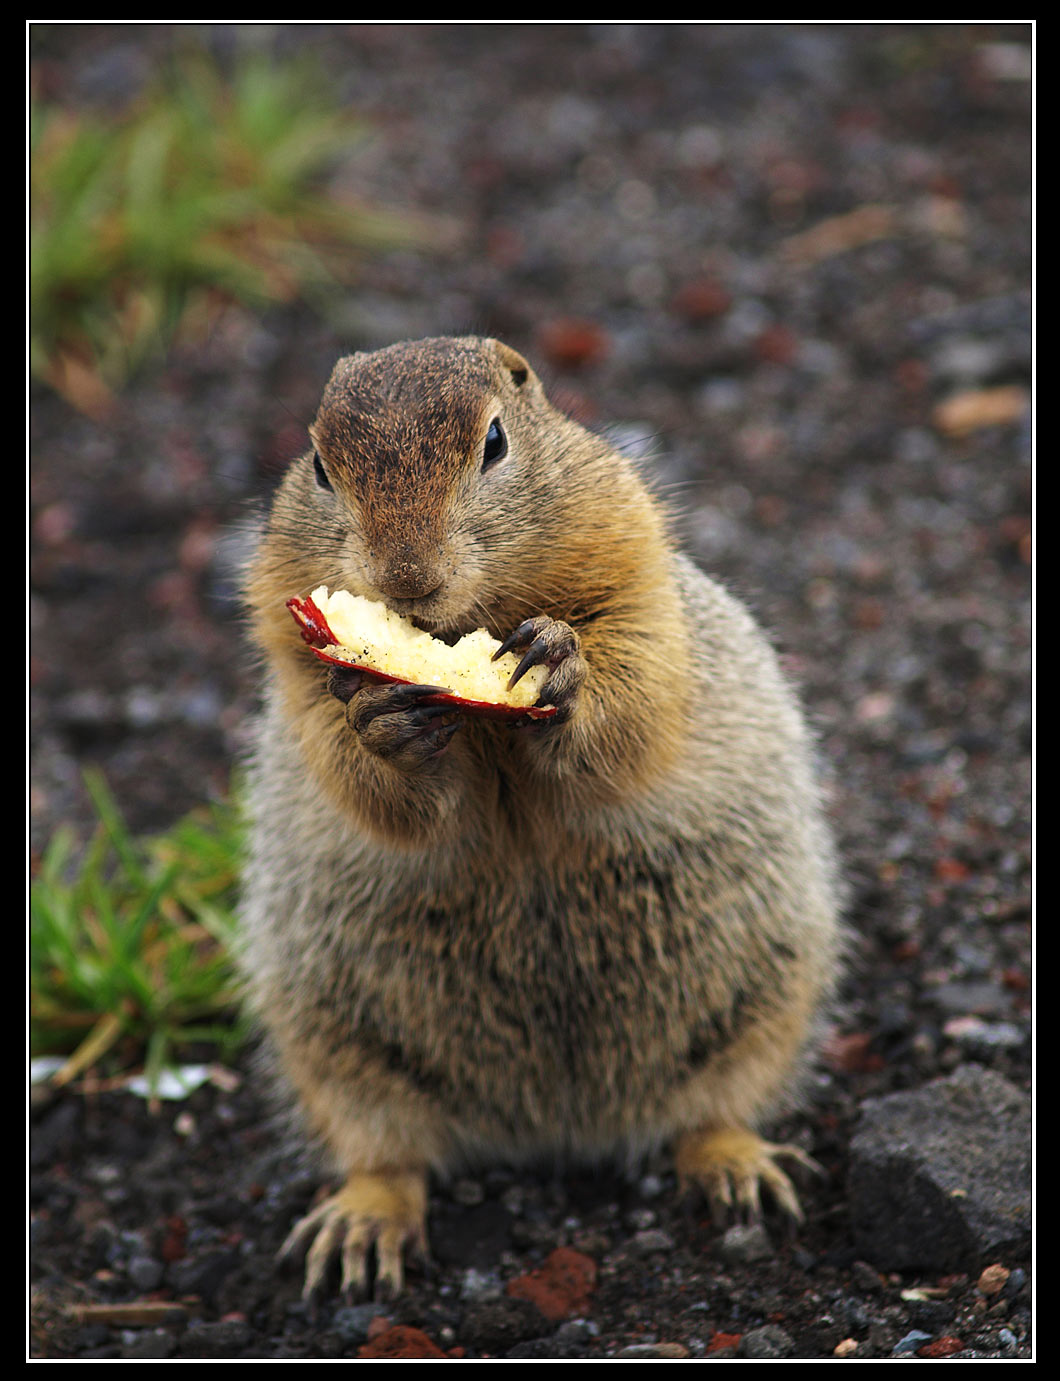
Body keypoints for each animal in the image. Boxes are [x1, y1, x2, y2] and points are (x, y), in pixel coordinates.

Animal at [237, 331, 839, 1292]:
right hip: (331, 1043)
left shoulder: (634, 571)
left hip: (765, 994)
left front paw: (561, 664)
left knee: (711, 1109)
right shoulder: (291, 664)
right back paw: (360, 1228)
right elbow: (358, 771)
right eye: (322, 467)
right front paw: (378, 720)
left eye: (494, 443)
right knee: (386, 1152)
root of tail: (560, 1126)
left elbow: (636, 696)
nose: (406, 577)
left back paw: (741, 1168)